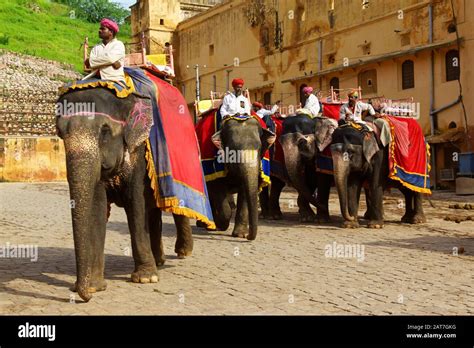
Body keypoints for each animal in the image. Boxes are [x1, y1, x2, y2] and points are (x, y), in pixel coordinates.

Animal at [56, 87, 193, 302]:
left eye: (104, 131)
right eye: (60, 132)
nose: (83, 295)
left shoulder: (139, 152)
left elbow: (134, 203)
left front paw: (146, 279)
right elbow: (97, 206)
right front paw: (95, 286)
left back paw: (182, 253)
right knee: (153, 212)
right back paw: (159, 260)